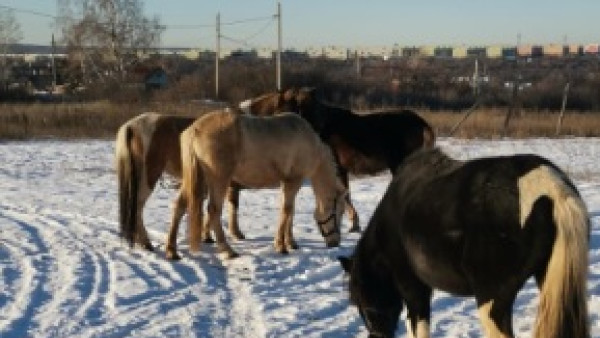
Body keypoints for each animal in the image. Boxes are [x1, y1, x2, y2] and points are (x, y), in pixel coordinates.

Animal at [115, 111, 246, 254]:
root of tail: (131, 126)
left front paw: (208, 236)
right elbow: (228, 206)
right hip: (148, 177)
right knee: (138, 207)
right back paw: (146, 243)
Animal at [169, 109, 346, 260]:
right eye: (338, 212)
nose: (335, 243)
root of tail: (195, 129)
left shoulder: (287, 182)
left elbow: (290, 211)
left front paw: (290, 242)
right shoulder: (294, 180)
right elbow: (287, 210)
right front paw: (281, 246)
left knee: (180, 205)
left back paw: (172, 250)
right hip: (219, 179)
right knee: (213, 210)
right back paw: (228, 250)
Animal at [240, 88, 436, 234]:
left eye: (281, 106)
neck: (321, 126)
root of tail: (422, 123)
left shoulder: (337, 168)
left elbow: (344, 194)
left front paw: (352, 223)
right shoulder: (340, 169)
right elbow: (345, 194)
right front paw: (353, 223)